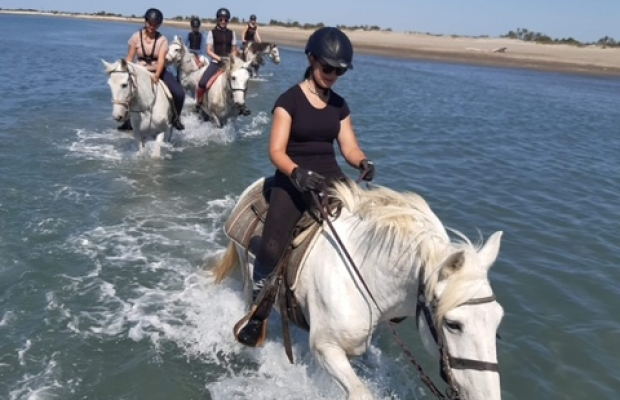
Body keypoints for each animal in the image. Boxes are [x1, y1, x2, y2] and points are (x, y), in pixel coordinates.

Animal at [213, 178, 504, 400]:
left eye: (497, 321)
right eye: (454, 324)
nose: (487, 396)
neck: (363, 277)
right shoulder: (326, 348)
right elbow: (360, 393)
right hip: (248, 269)